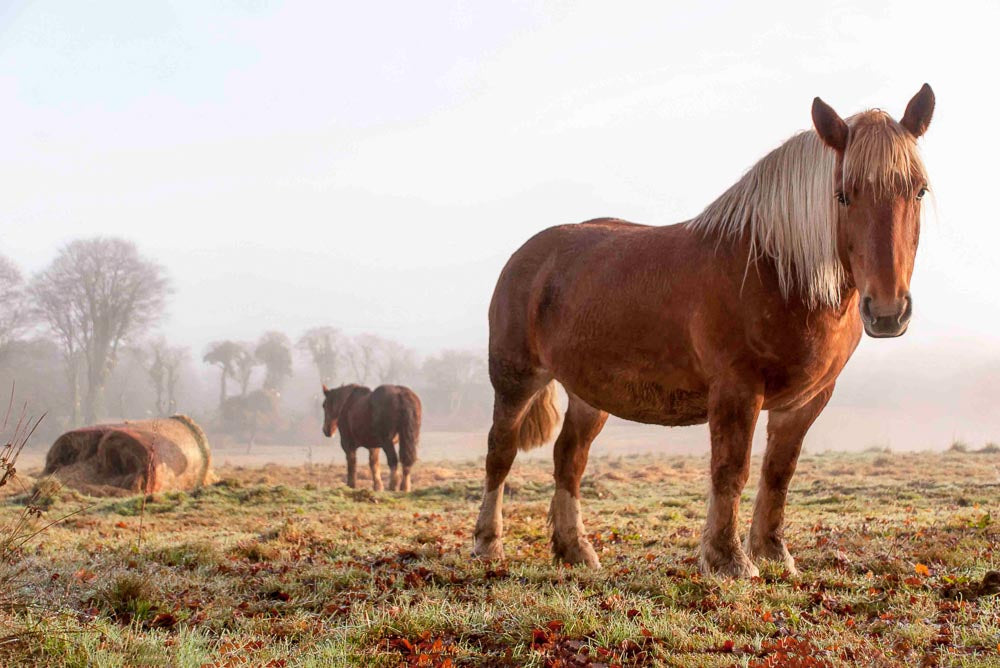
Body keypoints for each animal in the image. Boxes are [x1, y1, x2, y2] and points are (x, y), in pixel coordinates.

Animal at [472, 85, 935, 578]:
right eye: (844, 195)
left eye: (919, 191)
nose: (887, 312)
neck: (776, 269)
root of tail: (528, 254)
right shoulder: (736, 390)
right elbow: (730, 470)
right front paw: (727, 558)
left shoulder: (806, 401)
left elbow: (779, 472)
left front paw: (773, 551)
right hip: (516, 378)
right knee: (500, 452)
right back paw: (488, 544)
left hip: (587, 392)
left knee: (569, 460)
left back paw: (575, 549)